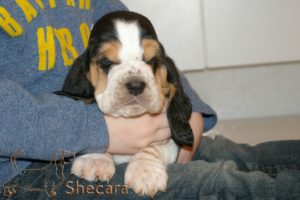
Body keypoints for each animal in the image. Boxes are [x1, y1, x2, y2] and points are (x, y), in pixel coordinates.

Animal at [55, 10, 193, 197]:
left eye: (152, 61)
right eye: (106, 62)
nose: (135, 85)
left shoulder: (171, 140)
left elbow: (153, 147)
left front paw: (145, 171)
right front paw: (94, 160)